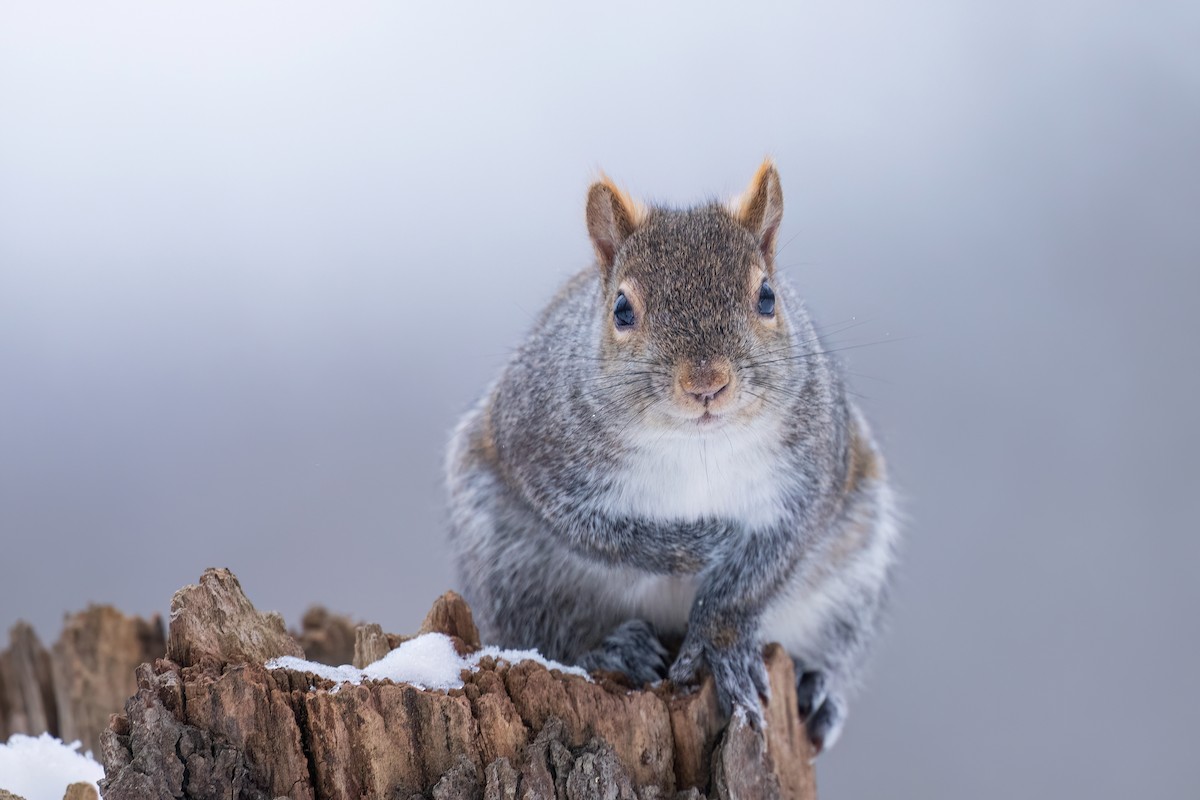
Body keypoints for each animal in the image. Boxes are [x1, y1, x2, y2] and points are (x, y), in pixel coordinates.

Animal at [445, 161, 898, 752]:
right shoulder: (536, 451)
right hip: (508, 563)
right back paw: (612, 649)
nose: (707, 383)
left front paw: (718, 644)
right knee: (543, 634)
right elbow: (602, 532)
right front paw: (700, 542)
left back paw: (814, 686)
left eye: (767, 297)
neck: (695, 445)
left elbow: (767, 562)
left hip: (852, 571)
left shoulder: (817, 471)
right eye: (621, 310)